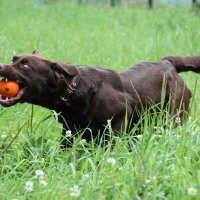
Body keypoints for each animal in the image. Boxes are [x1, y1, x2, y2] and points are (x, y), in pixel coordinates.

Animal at [0, 51, 200, 148]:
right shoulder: (69, 131)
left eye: (25, 65)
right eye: (13, 59)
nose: (1, 66)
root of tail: (167, 63)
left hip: (174, 117)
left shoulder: (120, 119)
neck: (71, 92)